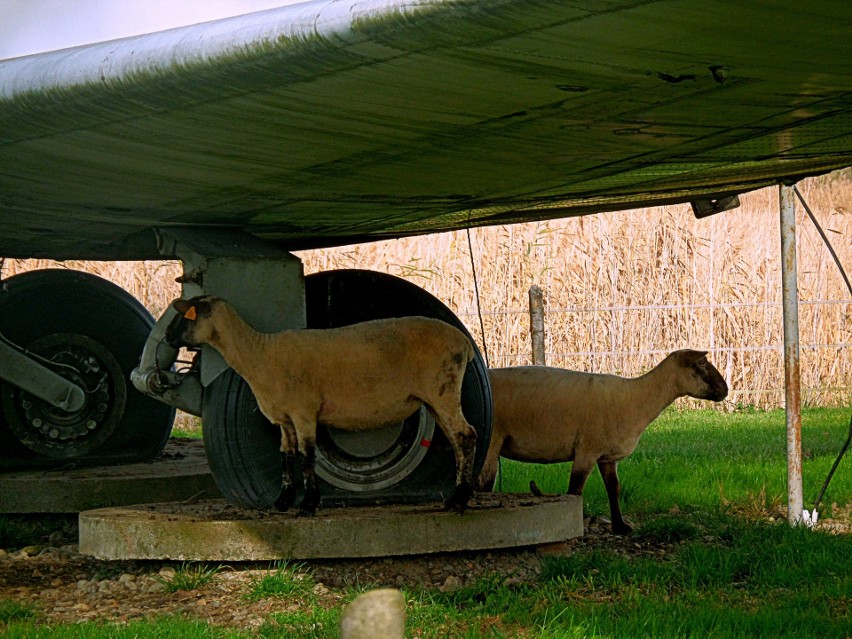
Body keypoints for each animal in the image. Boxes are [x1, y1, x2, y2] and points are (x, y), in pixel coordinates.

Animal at [162, 296, 476, 516]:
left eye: (184, 316)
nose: (166, 337)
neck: (260, 354)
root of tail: (464, 342)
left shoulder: (304, 411)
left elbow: (306, 455)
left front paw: (308, 505)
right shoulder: (284, 418)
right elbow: (286, 455)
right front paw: (283, 502)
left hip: (443, 389)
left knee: (466, 435)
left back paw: (460, 500)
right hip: (434, 399)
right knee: (457, 439)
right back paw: (456, 497)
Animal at [476, 350, 728, 536]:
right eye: (701, 364)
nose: (725, 390)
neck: (636, 397)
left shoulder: (607, 457)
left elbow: (613, 488)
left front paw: (621, 527)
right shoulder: (587, 450)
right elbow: (575, 491)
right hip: (492, 441)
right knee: (484, 486)